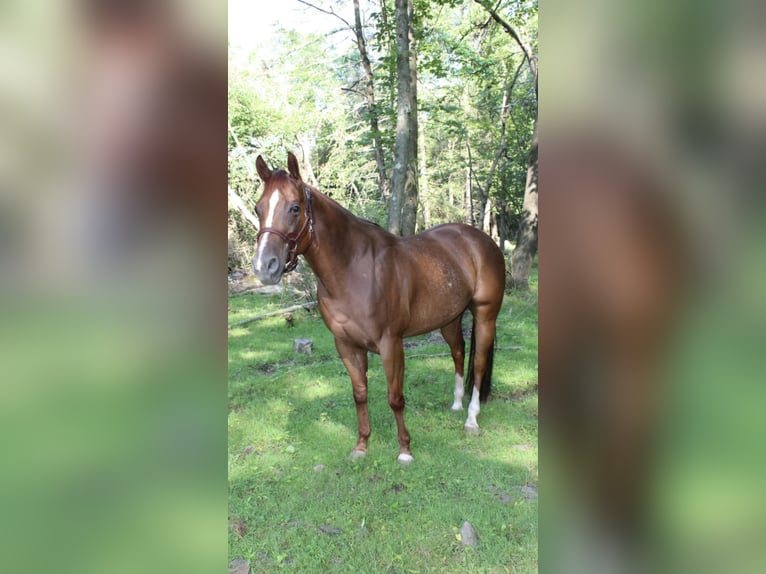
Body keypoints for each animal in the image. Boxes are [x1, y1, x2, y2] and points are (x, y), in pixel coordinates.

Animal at [252, 152, 506, 464]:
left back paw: (471, 419)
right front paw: (361, 446)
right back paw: (457, 404)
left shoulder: (391, 344)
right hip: (450, 319)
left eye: (295, 208)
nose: (264, 267)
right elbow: (360, 394)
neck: (353, 270)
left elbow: (395, 398)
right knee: (458, 353)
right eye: (259, 208)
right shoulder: (347, 345)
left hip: (485, 315)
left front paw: (405, 451)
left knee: (478, 363)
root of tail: (480, 240)